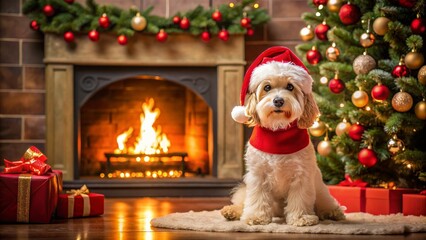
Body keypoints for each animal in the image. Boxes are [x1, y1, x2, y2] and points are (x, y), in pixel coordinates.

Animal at [221, 47, 344, 227]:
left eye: (290, 86)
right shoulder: (258, 175)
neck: (278, 133)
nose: (278, 101)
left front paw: (301, 218)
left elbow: (300, 198)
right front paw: (256, 217)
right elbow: (257, 198)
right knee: (242, 201)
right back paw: (232, 212)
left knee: (325, 202)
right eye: (267, 87)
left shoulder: (301, 175)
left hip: (320, 189)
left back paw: (332, 212)